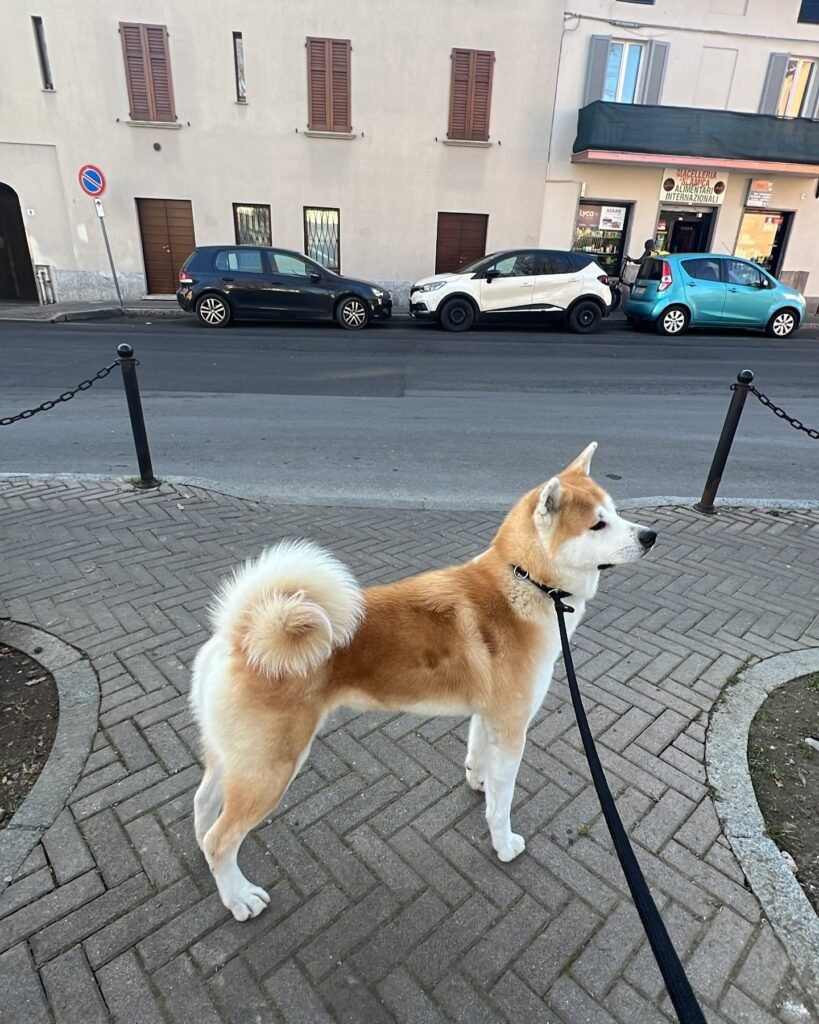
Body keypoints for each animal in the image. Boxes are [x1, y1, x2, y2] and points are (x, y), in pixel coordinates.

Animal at [188, 444, 655, 925]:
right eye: (598, 523)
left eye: (616, 511)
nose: (650, 536)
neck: (525, 581)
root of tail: (240, 634)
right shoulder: (512, 727)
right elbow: (502, 803)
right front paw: (503, 843)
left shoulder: (488, 717)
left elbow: (478, 759)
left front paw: (478, 781)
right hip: (270, 768)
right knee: (222, 839)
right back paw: (239, 897)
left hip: (235, 758)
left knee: (203, 808)